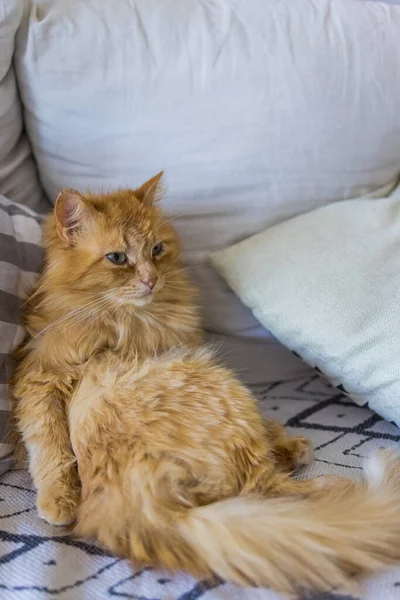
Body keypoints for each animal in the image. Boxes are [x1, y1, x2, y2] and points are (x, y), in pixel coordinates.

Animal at [12, 173, 400, 596]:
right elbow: (50, 447)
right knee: (265, 488)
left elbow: (269, 424)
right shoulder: (41, 379)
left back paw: (293, 453)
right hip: (218, 383)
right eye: (117, 258)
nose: (152, 279)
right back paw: (332, 484)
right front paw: (59, 501)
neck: (131, 322)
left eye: (157, 249)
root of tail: (151, 508)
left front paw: (283, 437)